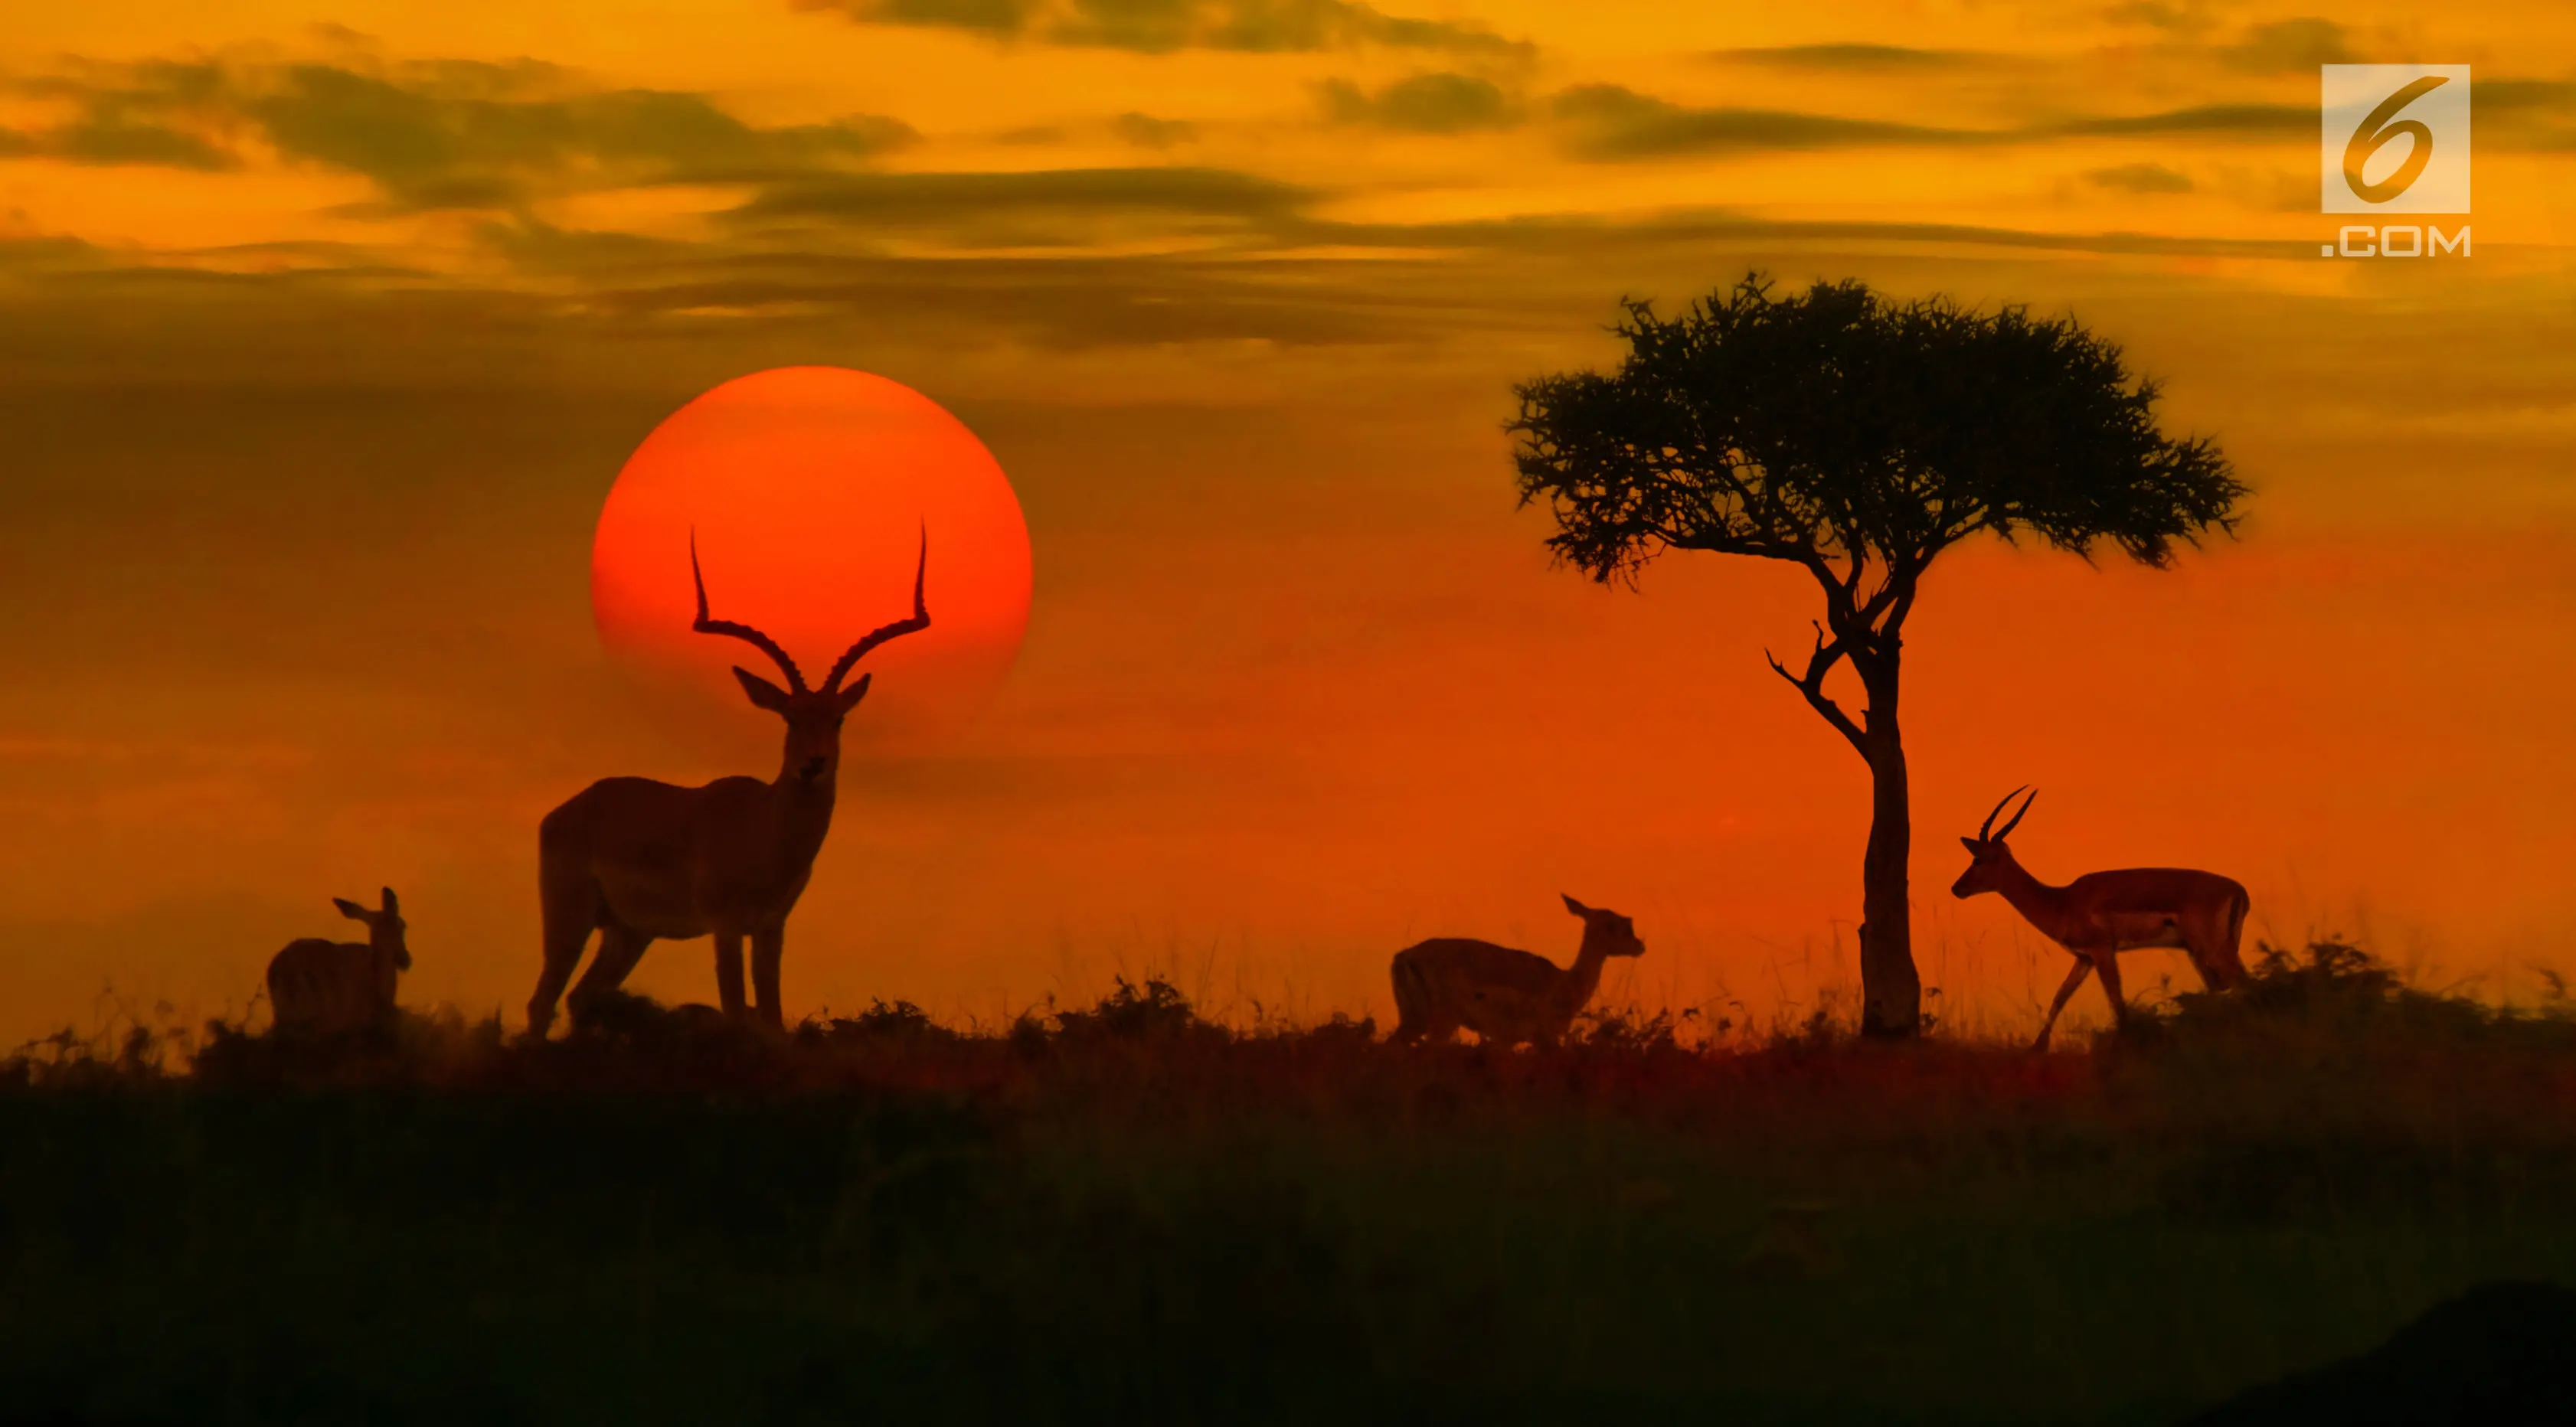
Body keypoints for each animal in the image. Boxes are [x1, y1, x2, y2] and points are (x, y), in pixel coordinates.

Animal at [528, 523, 932, 1035]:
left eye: (838, 719)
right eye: (789, 717)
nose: (813, 764)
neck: (765, 831)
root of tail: (571, 808)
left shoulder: (770, 927)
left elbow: (772, 1017)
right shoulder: (724, 926)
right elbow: (737, 1010)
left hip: (630, 931)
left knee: (582, 997)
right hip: (571, 917)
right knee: (543, 1001)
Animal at [1391, 901, 1648, 1046]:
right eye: (1618, 926)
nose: (1640, 946)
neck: (1566, 982)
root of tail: (1403, 957)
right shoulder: (1543, 1036)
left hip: (1414, 1018)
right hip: (1441, 1021)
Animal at [1957, 788, 2246, 1046]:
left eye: (1978, 860)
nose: (1956, 888)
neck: (2062, 901)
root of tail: (2239, 891)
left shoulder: (2103, 951)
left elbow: (2117, 1001)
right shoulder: (2084, 958)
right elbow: (2060, 997)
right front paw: (2037, 1048)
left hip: (2211, 949)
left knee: (2240, 982)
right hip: (2202, 952)